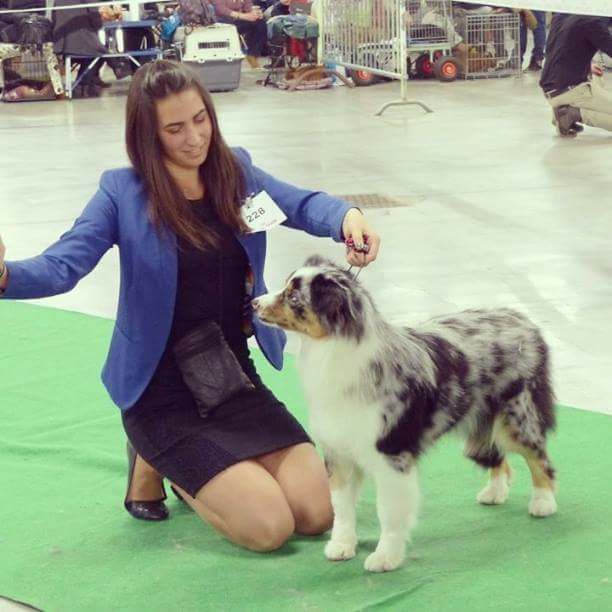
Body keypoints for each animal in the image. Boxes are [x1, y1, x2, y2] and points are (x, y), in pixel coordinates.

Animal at [252, 256, 557, 573]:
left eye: (293, 296)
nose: (253, 303)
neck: (334, 350)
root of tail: (523, 320)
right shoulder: (340, 453)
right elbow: (341, 507)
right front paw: (341, 546)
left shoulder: (391, 455)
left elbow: (388, 511)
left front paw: (385, 557)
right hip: (478, 422)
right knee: (498, 457)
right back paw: (495, 492)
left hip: (517, 417)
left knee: (540, 460)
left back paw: (543, 503)